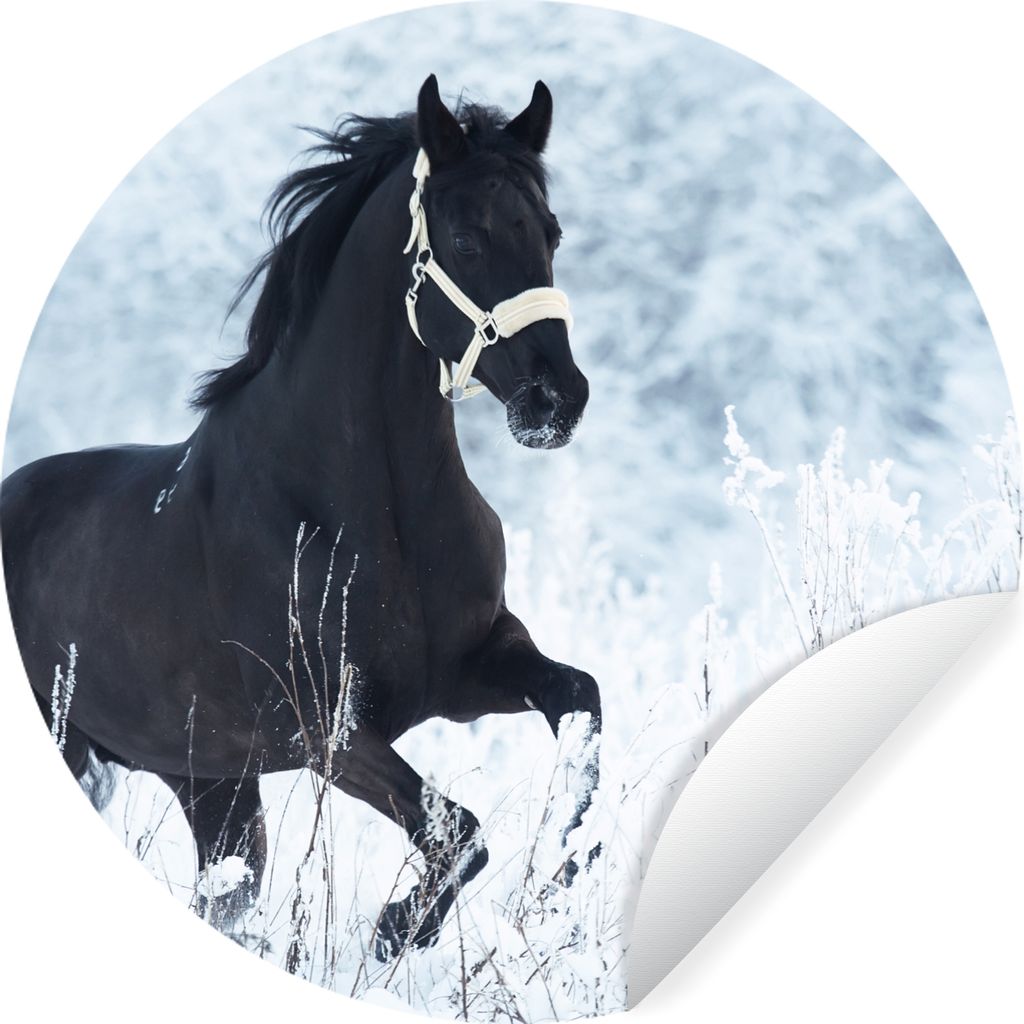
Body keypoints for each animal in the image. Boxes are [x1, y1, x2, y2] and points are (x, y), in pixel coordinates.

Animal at [1, 75, 600, 959]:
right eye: (466, 235)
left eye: (550, 230)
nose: (556, 399)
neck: (372, 512)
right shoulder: (325, 729)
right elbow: (457, 832)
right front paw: (396, 929)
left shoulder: (474, 668)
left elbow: (581, 706)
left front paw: (560, 874)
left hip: (211, 785)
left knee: (223, 896)